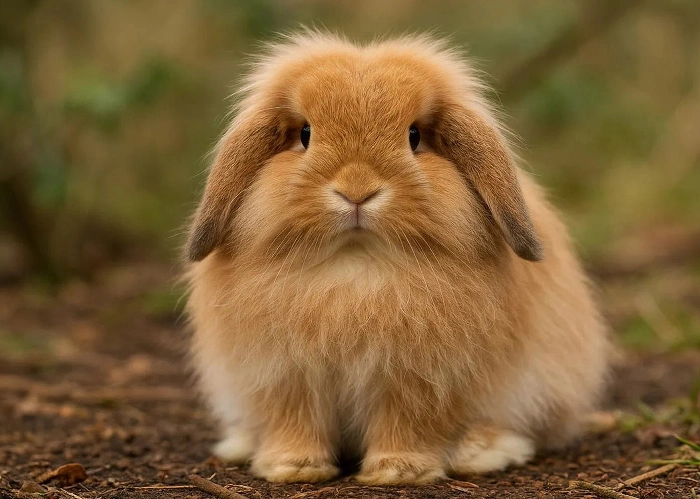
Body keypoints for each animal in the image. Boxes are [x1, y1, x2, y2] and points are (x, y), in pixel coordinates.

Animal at [183, 31, 611, 485]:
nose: (357, 190)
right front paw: (293, 467)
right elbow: (295, 421)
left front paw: (398, 471)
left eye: (414, 136)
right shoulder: (285, 375)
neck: (356, 266)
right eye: (305, 134)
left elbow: (407, 424)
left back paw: (482, 452)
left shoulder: (420, 380)